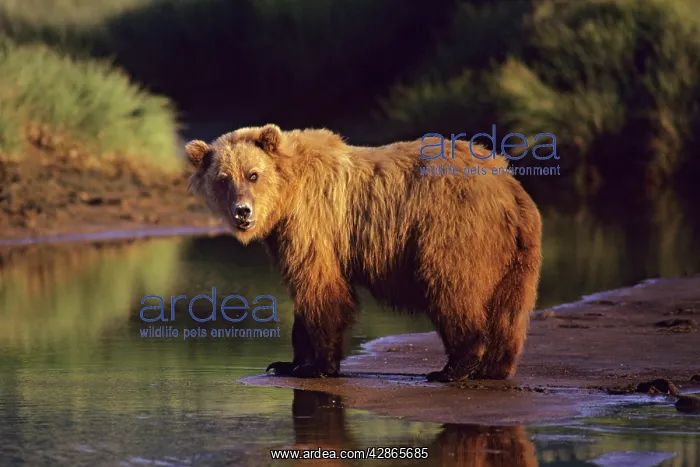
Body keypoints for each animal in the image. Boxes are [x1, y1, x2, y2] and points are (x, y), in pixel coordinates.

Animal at [185, 124, 542, 382]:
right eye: (223, 179)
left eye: (253, 174)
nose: (242, 212)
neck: (287, 196)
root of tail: (510, 188)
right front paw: (288, 362)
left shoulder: (314, 222)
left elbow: (320, 289)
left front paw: (318, 365)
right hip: (517, 252)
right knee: (510, 308)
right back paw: (495, 367)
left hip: (455, 229)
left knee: (453, 288)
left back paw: (453, 368)